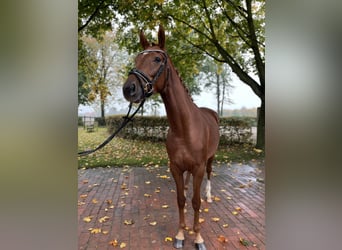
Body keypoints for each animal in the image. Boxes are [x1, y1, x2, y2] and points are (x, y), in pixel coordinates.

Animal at [123, 25, 219, 250]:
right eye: (136, 59)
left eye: (157, 59)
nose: (128, 89)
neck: (184, 128)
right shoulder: (175, 167)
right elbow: (181, 199)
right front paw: (181, 234)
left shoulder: (198, 167)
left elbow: (196, 202)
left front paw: (198, 237)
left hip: (210, 159)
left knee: (209, 175)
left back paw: (209, 195)